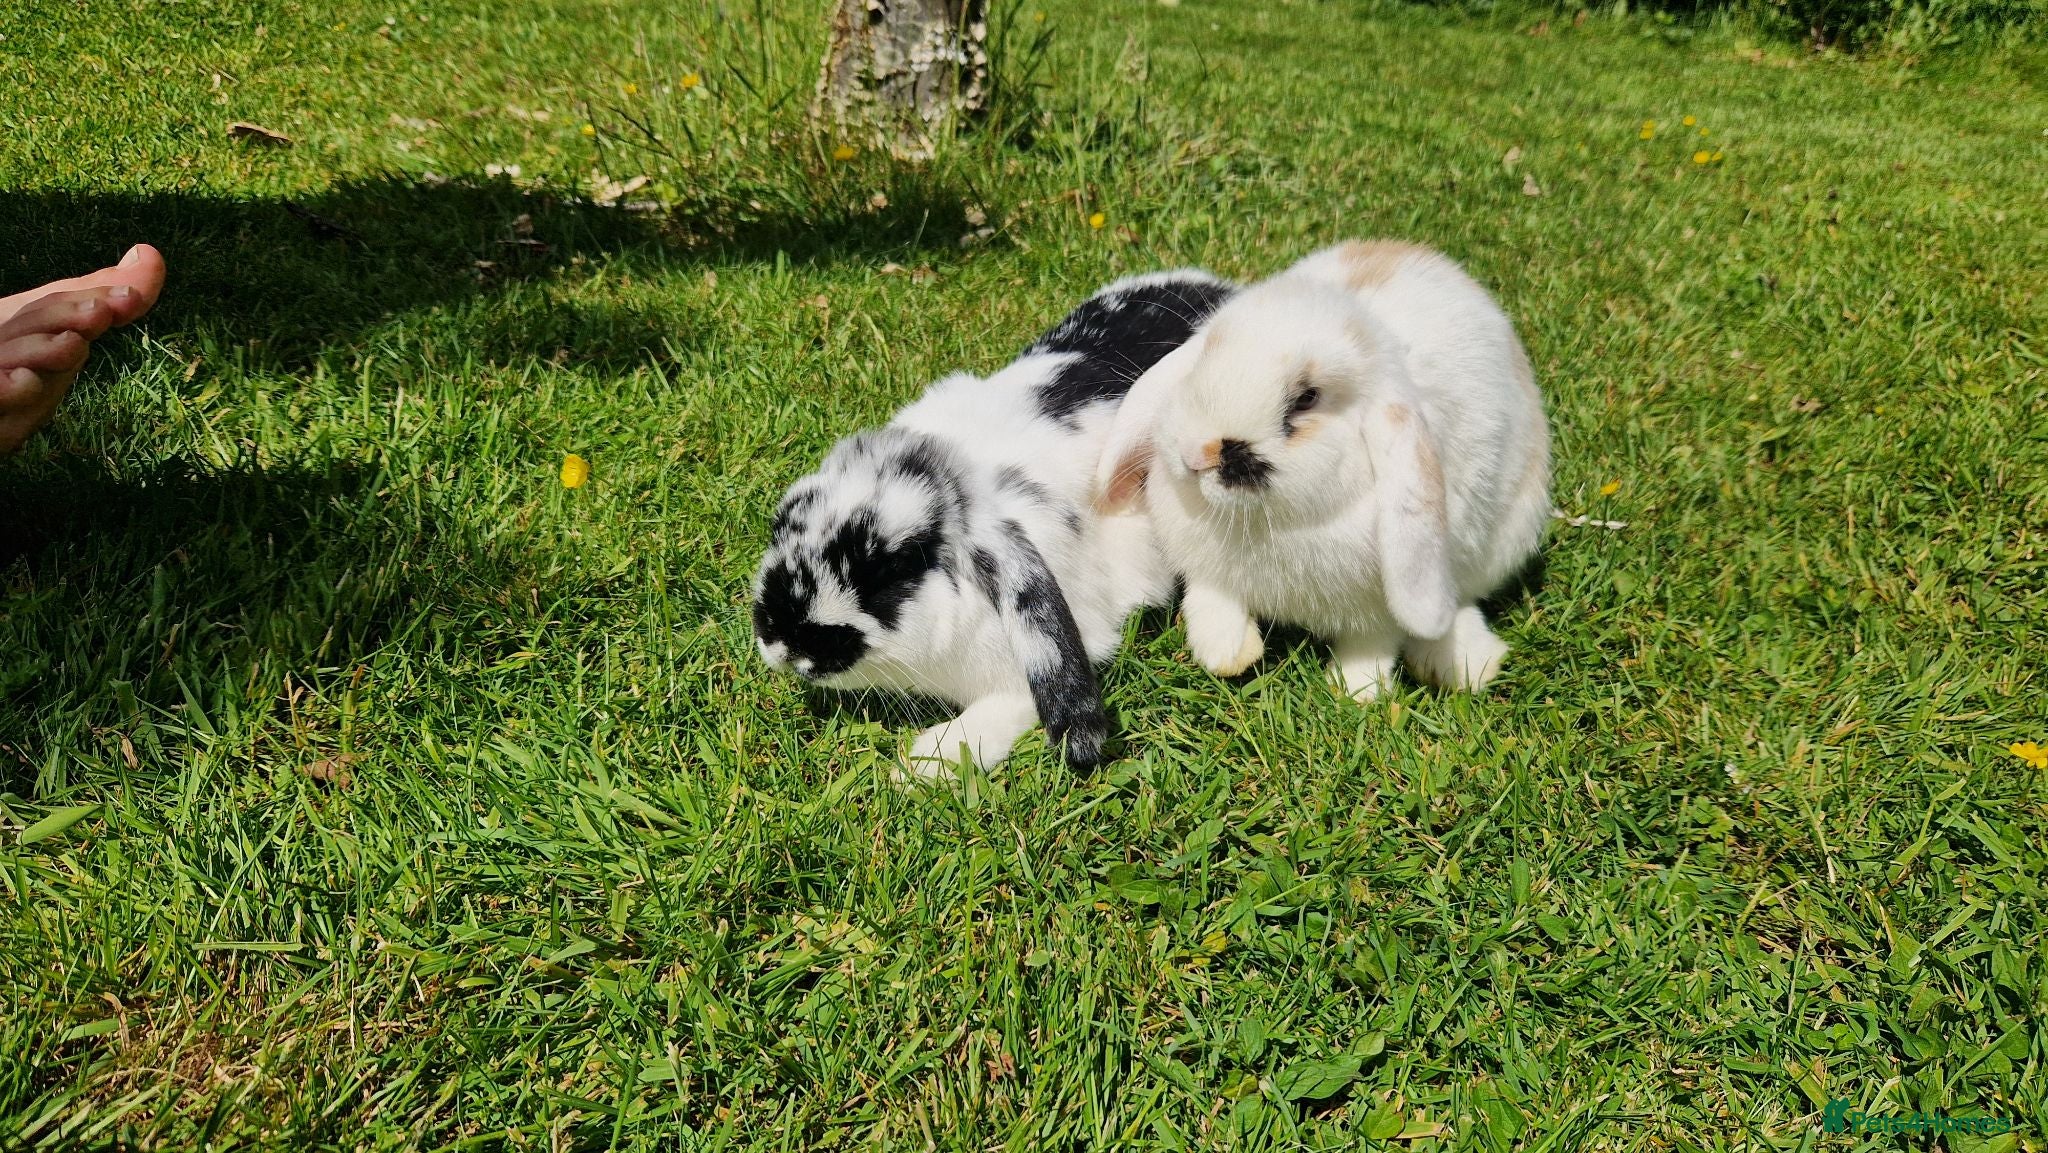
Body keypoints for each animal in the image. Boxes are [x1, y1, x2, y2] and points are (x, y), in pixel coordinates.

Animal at [1095, 241, 1551, 701]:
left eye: (1307, 399)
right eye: (1205, 356)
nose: (1194, 454)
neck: (1266, 523)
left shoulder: (1379, 612)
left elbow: (1373, 645)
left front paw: (1356, 692)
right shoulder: (1207, 570)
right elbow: (1210, 601)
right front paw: (1226, 654)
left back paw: (1464, 663)